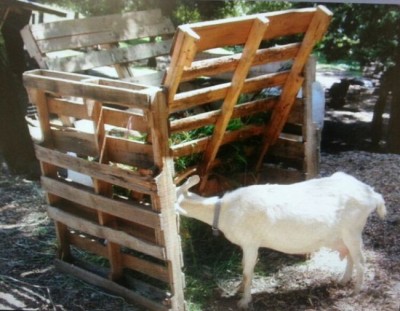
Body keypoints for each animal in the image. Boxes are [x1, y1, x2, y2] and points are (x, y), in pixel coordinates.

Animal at [176, 173, 388, 310]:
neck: (226, 211)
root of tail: (373, 195)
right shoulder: (246, 244)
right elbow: (243, 268)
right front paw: (239, 290)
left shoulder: (251, 243)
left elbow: (247, 271)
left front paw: (244, 301)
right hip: (342, 235)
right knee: (350, 256)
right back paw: (343, 280)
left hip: (353, 229)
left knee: (361, 260)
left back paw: (356, 290)